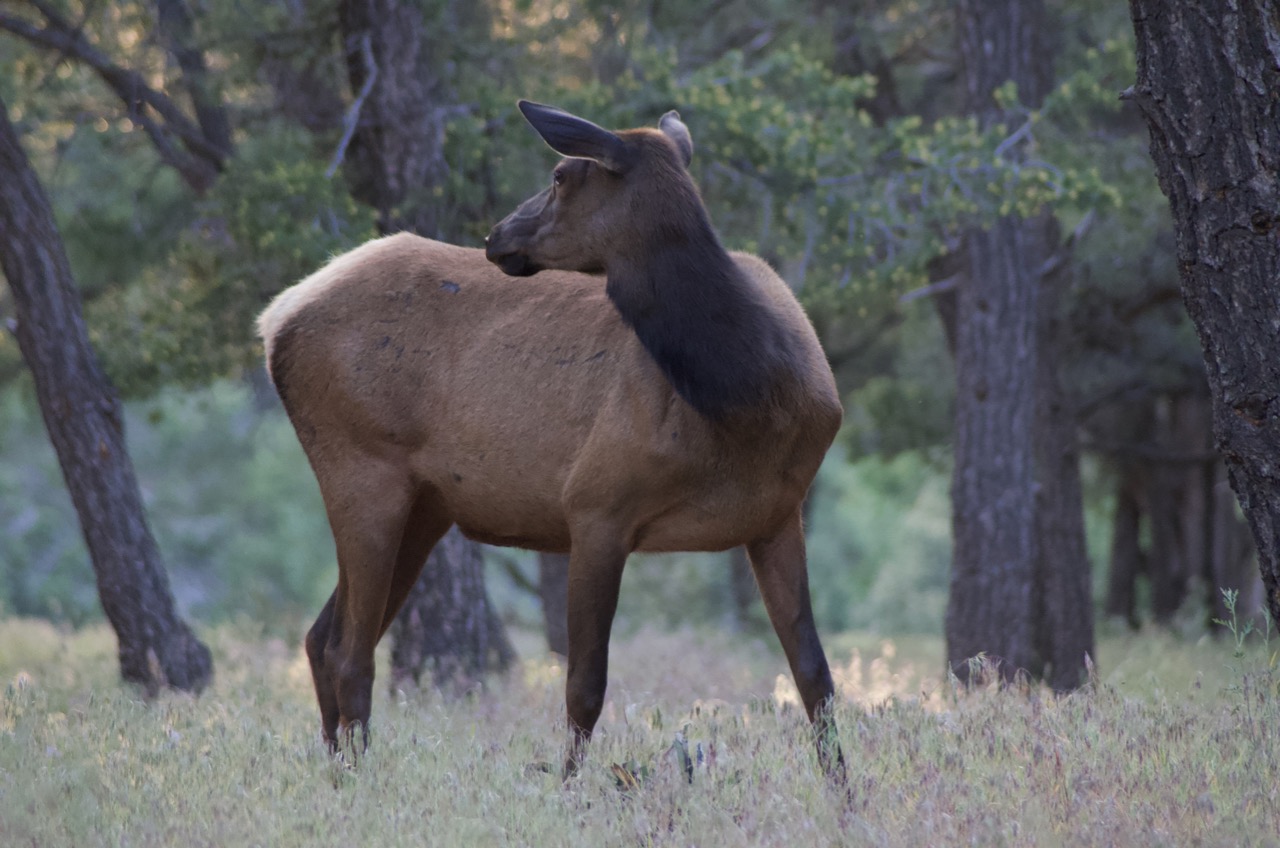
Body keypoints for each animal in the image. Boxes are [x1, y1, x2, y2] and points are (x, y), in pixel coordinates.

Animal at [254, 103, 844, 778]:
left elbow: (815, 677)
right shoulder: (595, 504)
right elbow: (584, 685)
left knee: (323, 638)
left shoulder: (778, 515)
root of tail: (274, 318)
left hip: (425, 504)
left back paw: (337, 773)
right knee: (350, 652)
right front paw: (568, 788)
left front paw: (845, 792)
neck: (751, 400)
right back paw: (358, 781)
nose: (496, 234)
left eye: (561, 175)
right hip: (359, 465)